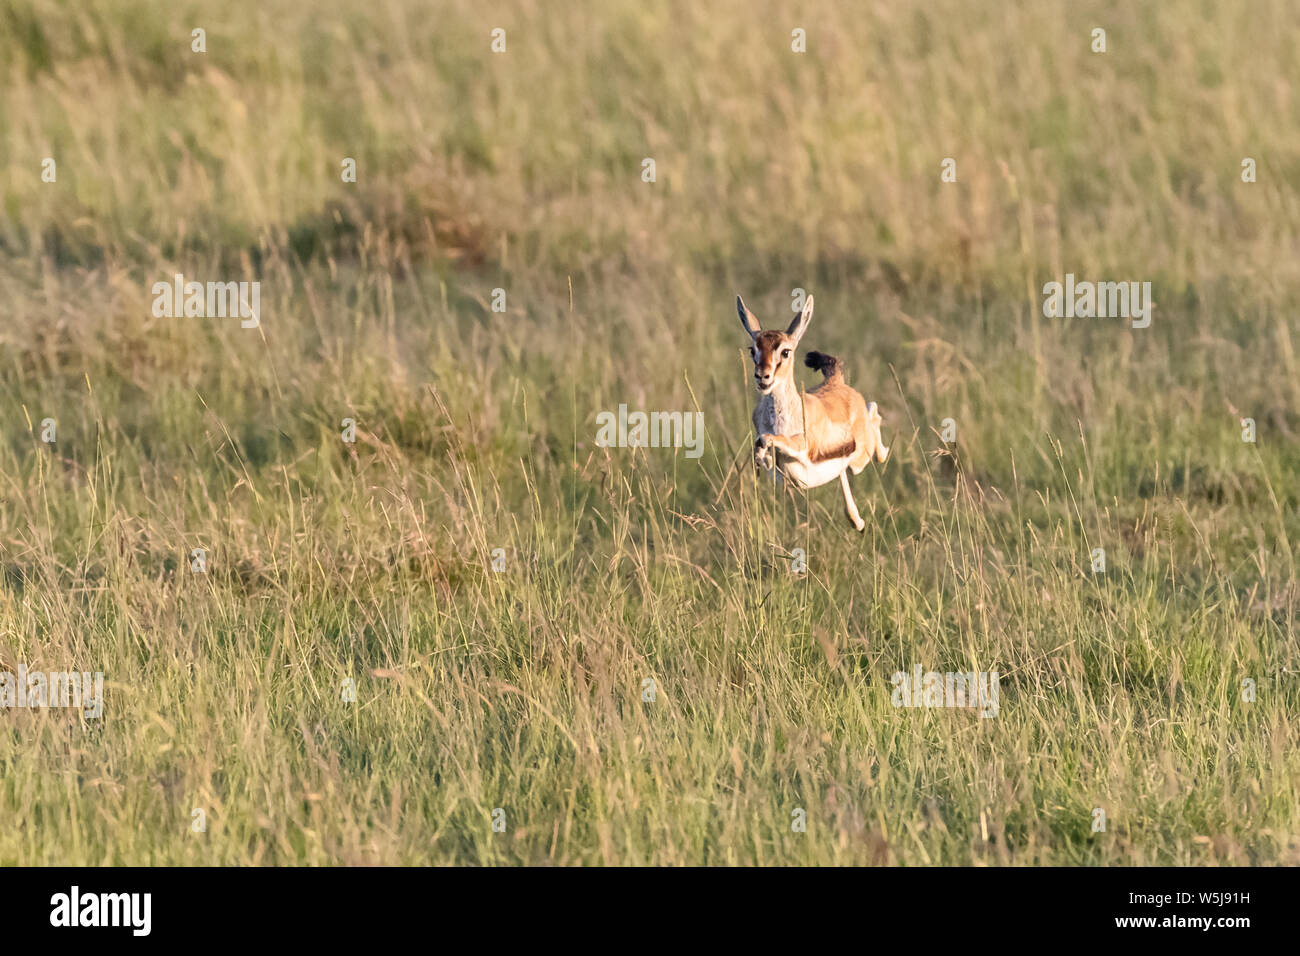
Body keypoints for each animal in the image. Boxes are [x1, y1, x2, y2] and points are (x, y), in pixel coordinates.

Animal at [736, 293, 888, 532]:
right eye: (753, 350)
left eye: (785, 351)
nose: (762, 376)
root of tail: (835, 381)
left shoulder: (805, 449)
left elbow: (775, 439)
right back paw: (857, 521)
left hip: (860, 459)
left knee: (874, 418)